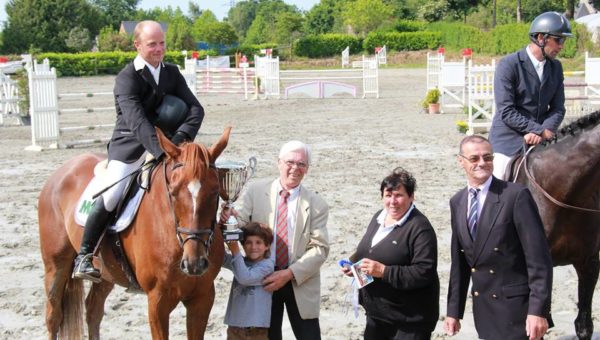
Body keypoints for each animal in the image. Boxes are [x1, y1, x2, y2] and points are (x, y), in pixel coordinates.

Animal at [37, 126, 230, 338]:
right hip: (56, 265)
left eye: (215, 191)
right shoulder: (157, 301)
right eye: (173, 192)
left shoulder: (202, 298)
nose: (194, 264)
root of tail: (63, 171)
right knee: (54, 315)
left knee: (93, 310)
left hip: (106, 272)